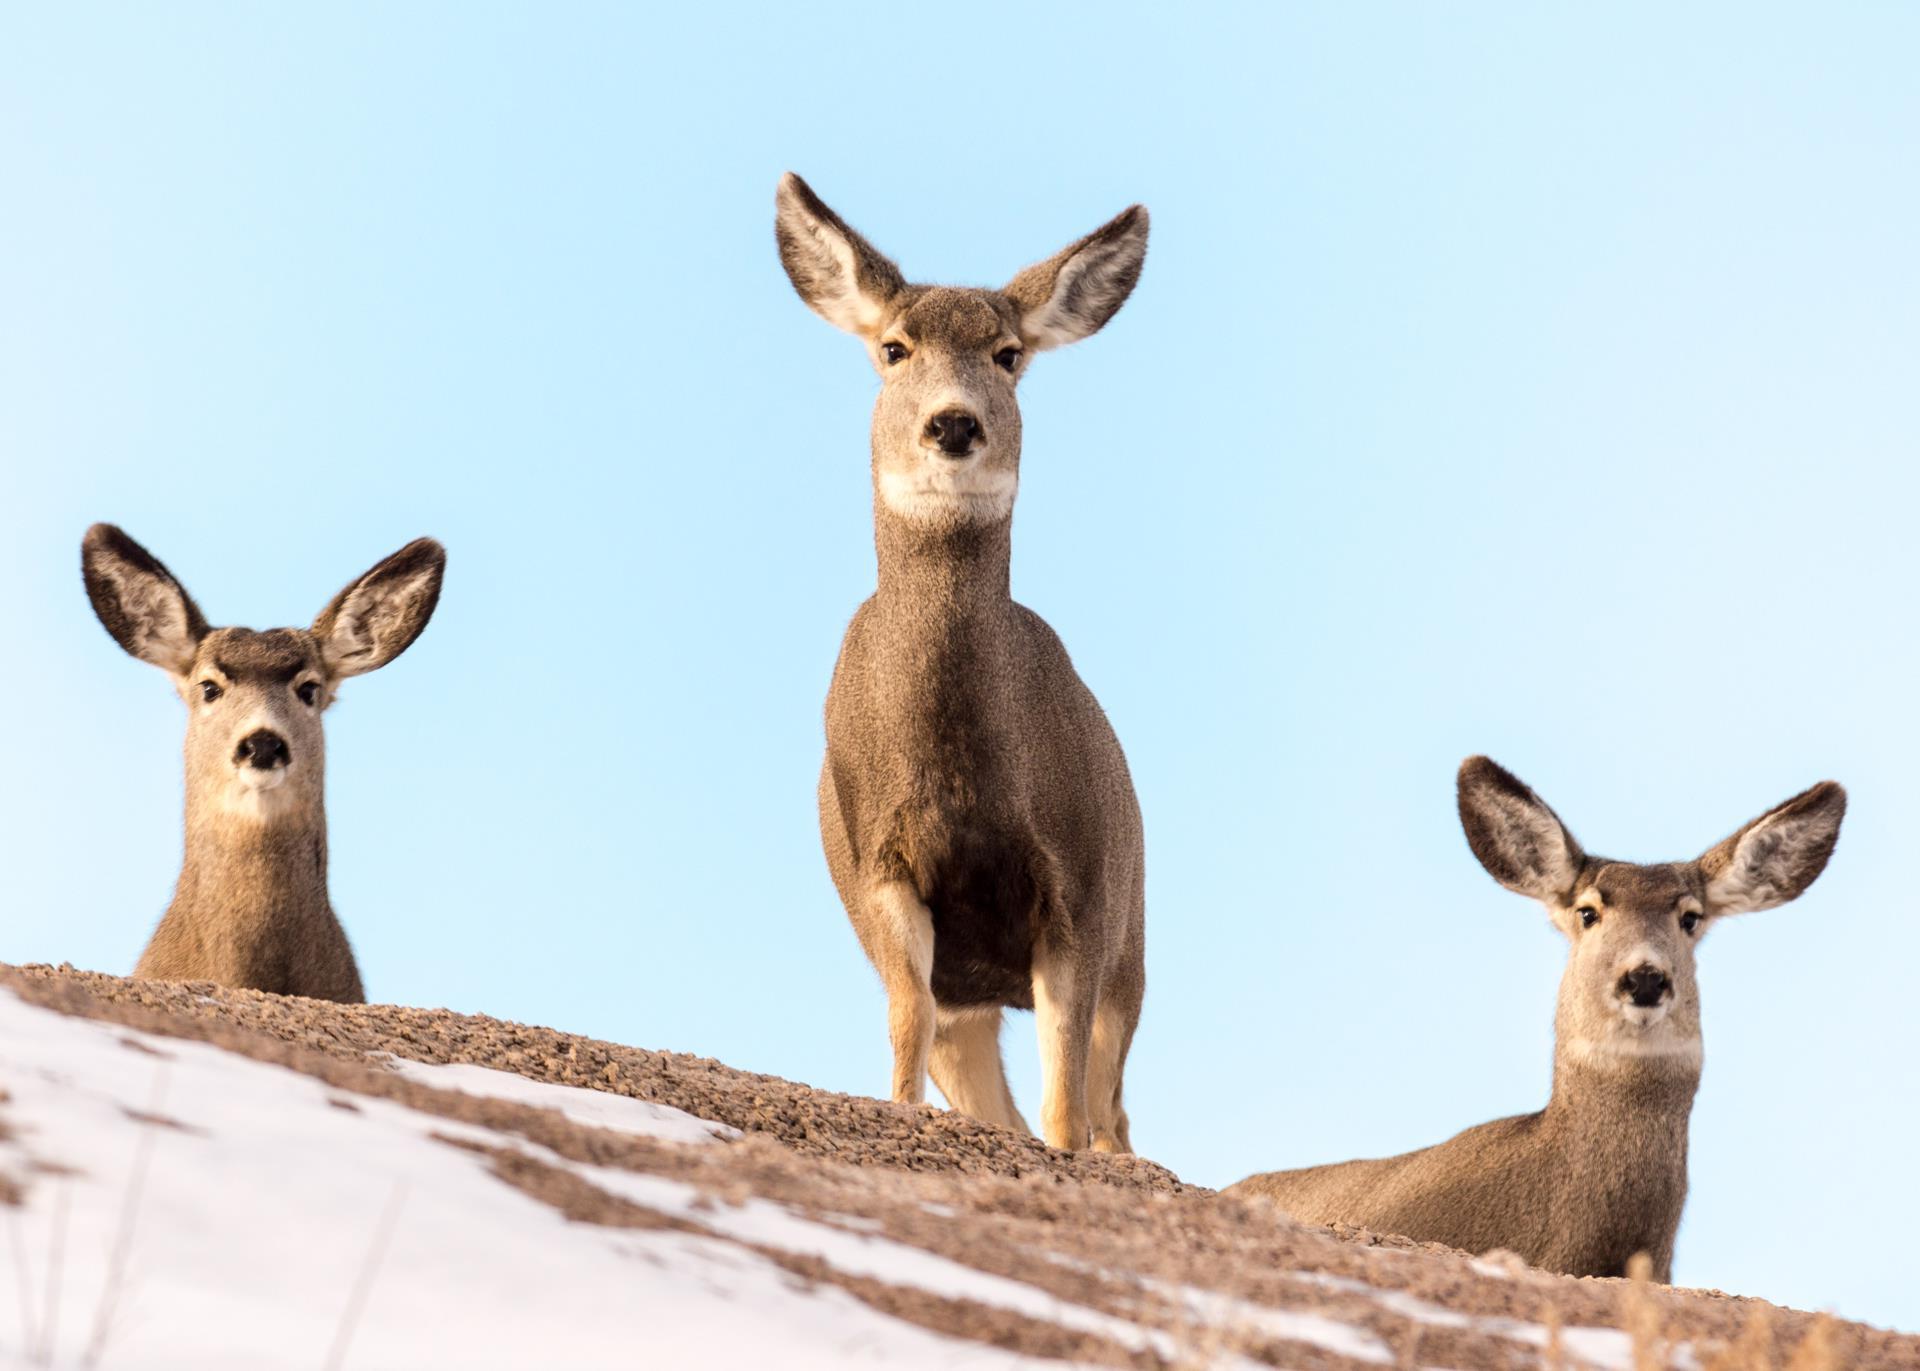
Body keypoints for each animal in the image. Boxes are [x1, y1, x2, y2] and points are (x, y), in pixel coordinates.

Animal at [771, 173, 1144, 1152]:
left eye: (1009, 355)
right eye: (894, 348)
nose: (953, 423)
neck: (962, 770)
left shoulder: (1081, 886)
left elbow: (1066, 1108)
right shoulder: (883, 873)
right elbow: (906, 1037)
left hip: (1135, 941)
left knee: (1111, 1108)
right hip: (972, 995)